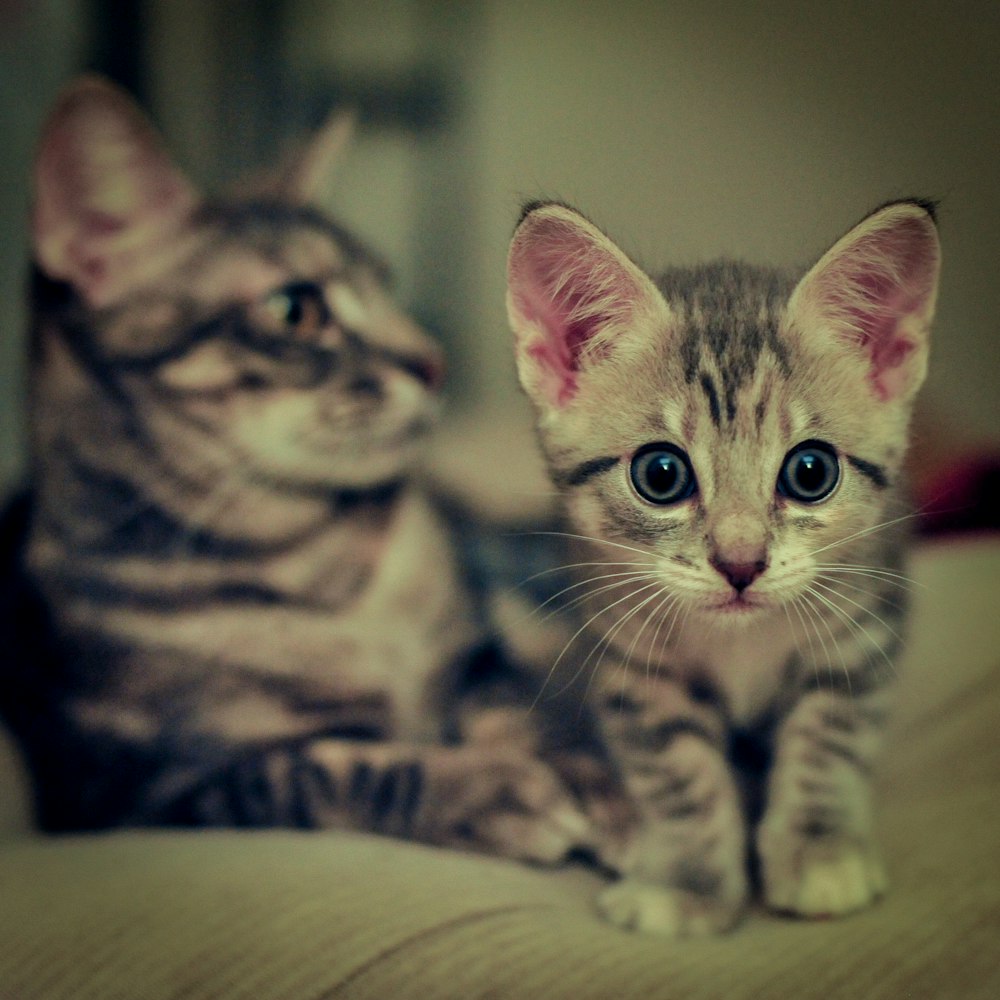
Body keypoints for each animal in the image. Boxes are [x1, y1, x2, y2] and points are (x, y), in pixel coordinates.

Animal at [0, 76, 608, 860]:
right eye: (296, 309)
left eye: (386, 286)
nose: (435, 361)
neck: (328, 563)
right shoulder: (149, 794)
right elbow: (335, 770)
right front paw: (493, 788)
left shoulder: (480, 651)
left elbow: (523, 704)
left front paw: (600, 787)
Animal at [504, 199, 940, 932]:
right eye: (660, 474)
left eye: (811, 471)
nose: (741, 563)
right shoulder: (634, 660)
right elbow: (679, 776)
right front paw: (689, 883)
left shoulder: (863, 628)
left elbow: (829, 738)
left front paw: (818, 852)